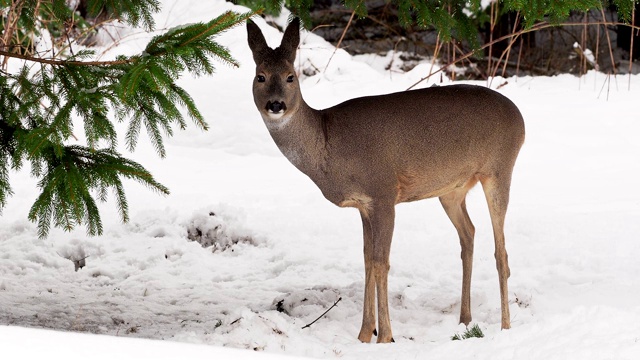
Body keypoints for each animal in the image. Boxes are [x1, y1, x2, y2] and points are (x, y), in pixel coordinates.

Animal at [245, 19, 524, 344]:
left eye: (291, 77)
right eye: (260, 76)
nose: (275, 105)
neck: (328, 144)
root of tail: (520, 118)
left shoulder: (383, 193)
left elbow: (381, 262)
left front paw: (385, 336)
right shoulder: (364, 205)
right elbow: (367, 259)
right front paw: (364, 333)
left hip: (500, 169)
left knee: (501, 252)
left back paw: (505, 326)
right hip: (452, 190)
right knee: (468, 234)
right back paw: (465, 319)